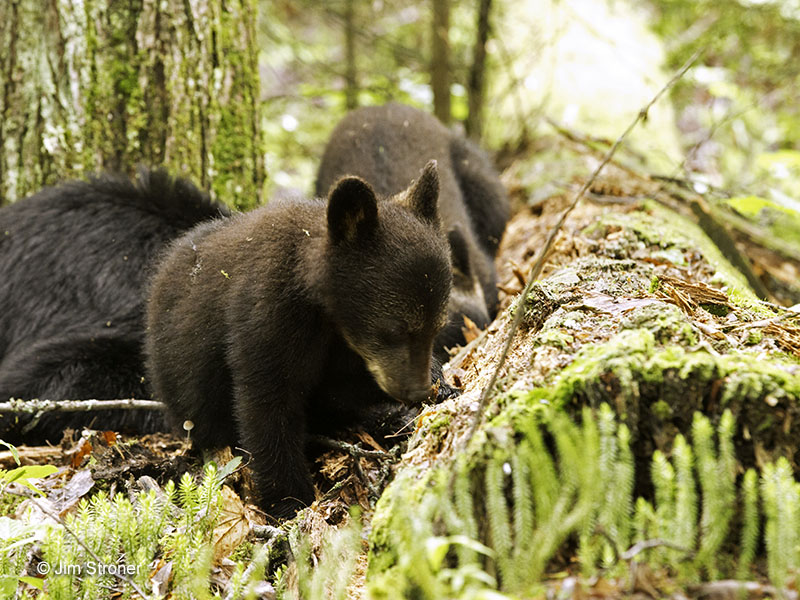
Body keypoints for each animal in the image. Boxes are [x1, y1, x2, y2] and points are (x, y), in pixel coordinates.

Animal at [146, 162, 454, 516]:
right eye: (394, 329)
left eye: (436, 327)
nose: (417, 391)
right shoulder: (269, 315)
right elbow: (268, 401)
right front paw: (290, 500)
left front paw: (442, 382)